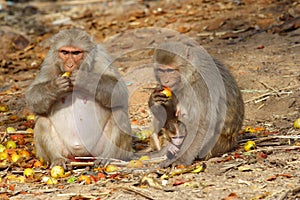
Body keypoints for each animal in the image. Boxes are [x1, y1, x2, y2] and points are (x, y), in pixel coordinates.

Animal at [25, 28, 133, 169]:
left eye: (76, 53)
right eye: (65, 52)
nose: (70, 65)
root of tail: (81, 156)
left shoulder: (100, 56)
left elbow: (119, 90)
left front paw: (84, 78)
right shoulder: (49, 60)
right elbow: (32, 96)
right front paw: (55, 86)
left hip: (98, 149)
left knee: (118, 113)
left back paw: (108, 157)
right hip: (65, 151)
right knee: (42, 120)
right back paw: (57, 159)